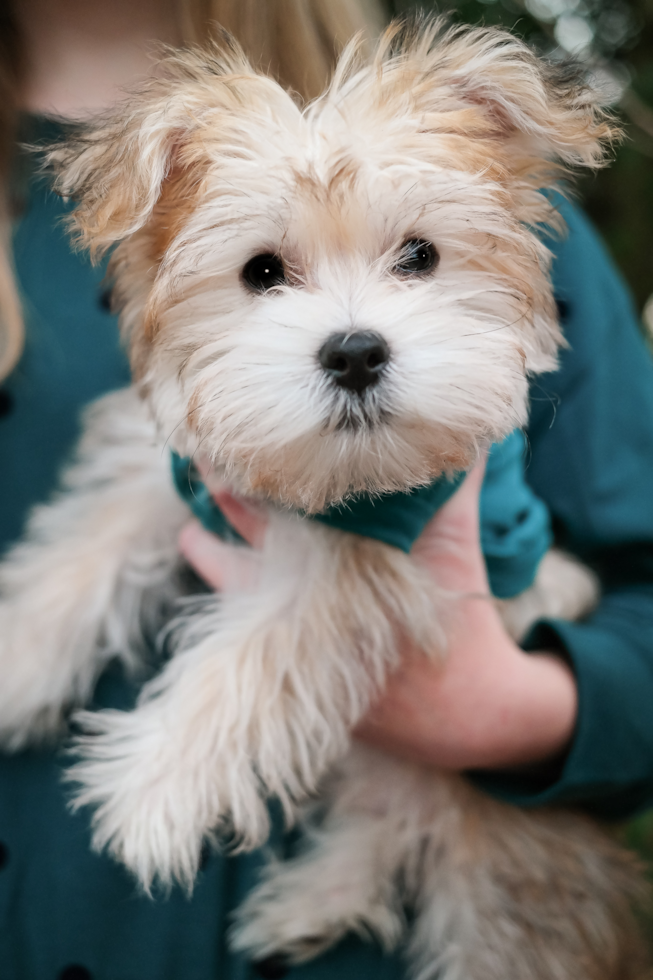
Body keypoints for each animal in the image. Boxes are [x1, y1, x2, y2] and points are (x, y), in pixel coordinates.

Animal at [0, 17, 644, 980]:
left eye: (419, 256)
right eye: (261, 271)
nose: (355, 351)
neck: (329, 481)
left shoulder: (371, 565)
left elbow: (254, 657)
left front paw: (153, 784)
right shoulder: (184, 473)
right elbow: (83, 553)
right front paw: (17, 664)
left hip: (502, 855)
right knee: (390, 822)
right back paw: (311, 902)